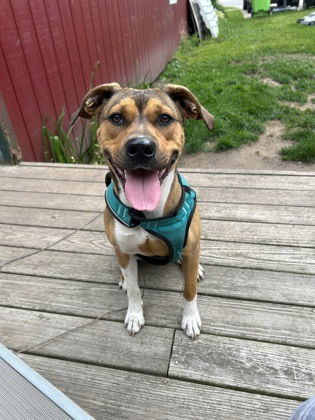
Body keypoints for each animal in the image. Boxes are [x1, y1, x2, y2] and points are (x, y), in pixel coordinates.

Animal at [71, 83, 215, 340]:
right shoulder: (124, 250)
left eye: (165, 118)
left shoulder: (190, 246)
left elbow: (189, 289)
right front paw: (135, 314)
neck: (148, 216)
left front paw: (190, 319)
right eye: (116, 117)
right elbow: (134, 289)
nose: (140, 147)